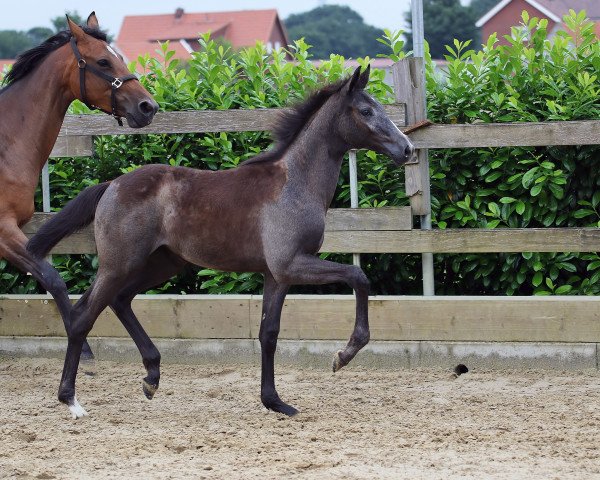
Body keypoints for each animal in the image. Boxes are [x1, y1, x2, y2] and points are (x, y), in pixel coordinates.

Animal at [27, 65, 412, 418]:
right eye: (366, 111)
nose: (407, 149)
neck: (294, 183)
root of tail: (112, 185)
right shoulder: (292, 264)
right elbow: (358, 277)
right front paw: (343, 356)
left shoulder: (277, 275)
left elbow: (268, 334)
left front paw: (275, 402)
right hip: (118, 264)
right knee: (83, 315)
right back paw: (71, 399)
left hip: (161, 263)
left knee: (120, 301)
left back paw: (152, 376)